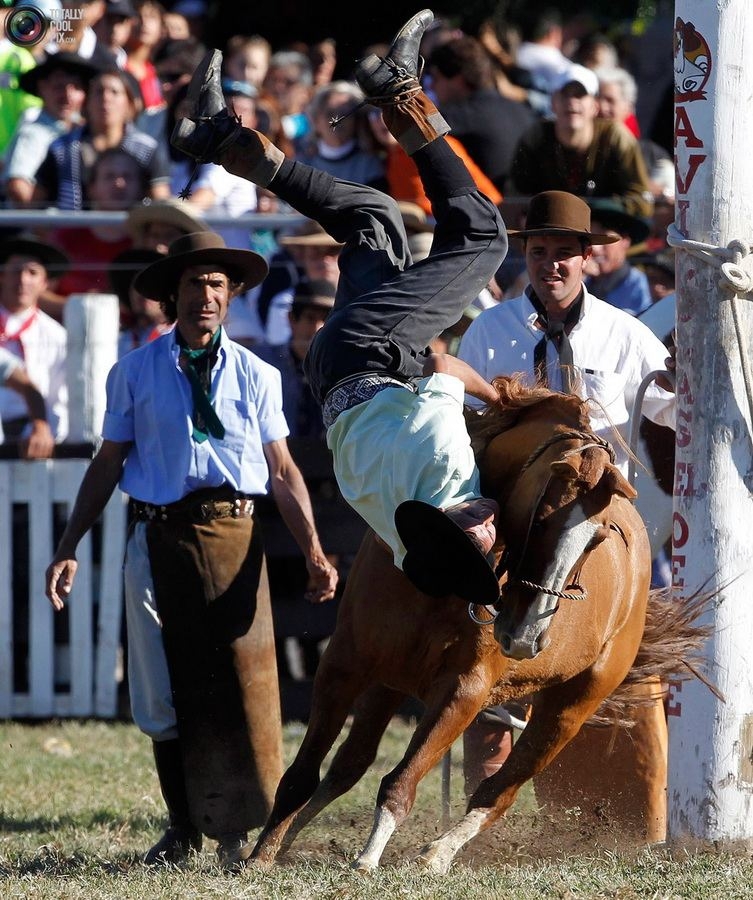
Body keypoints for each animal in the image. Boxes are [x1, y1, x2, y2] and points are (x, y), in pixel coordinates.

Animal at [248, 374, 704, 872]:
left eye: (596, 539)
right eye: (541, 519)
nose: (525, 637)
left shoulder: (464, 689)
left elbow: (401, 781)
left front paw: (366, 860)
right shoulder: (346, 663)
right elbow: (303, 774)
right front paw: (262, 854)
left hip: (573, 706)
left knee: (499, 791)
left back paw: (437, 853)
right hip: (389, 682)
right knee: (349, 765)